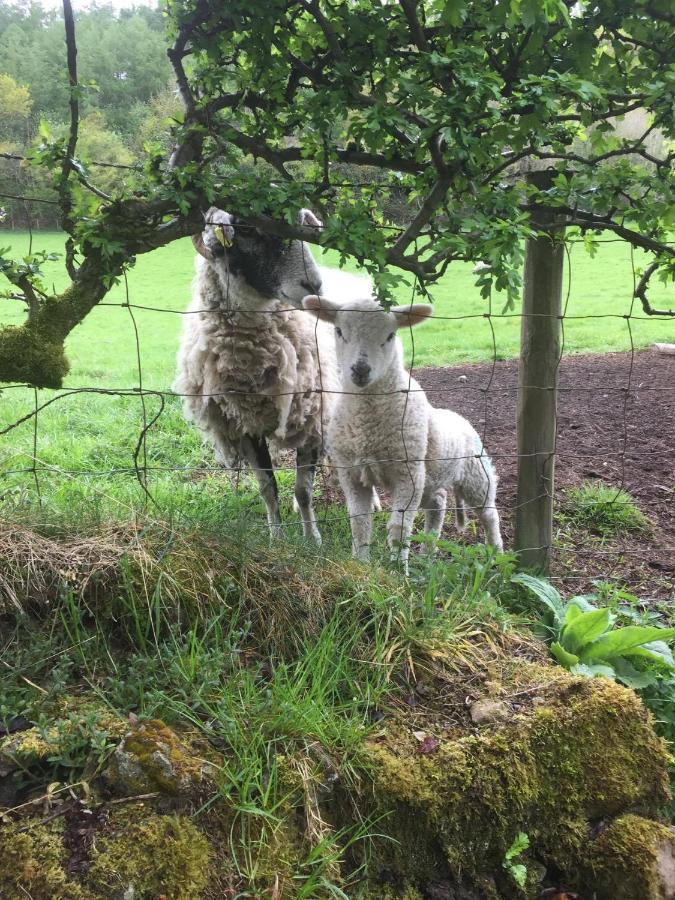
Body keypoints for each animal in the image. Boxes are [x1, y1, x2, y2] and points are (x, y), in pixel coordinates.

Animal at [174, 206, 370, 540]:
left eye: (301, 230)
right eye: (248, 230)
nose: (314, 286)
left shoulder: (311, 417)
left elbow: (303, 490)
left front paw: (312, 539)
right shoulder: (246, 425)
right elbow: (268, 488)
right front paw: (276, 537)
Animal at [302, 296, 502, 568]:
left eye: (391, 335)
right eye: (339, 331)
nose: (360, 370)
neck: (367, 423)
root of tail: (461, 419)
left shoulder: (408, 473)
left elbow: (399, 527)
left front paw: (397, 569)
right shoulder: (351, 473)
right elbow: (359, 522)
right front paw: (361, 564)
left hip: (475, 476)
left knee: (489, 514)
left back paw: (498, 555)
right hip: (431, 479)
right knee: (438, 504)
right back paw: (427, 555)